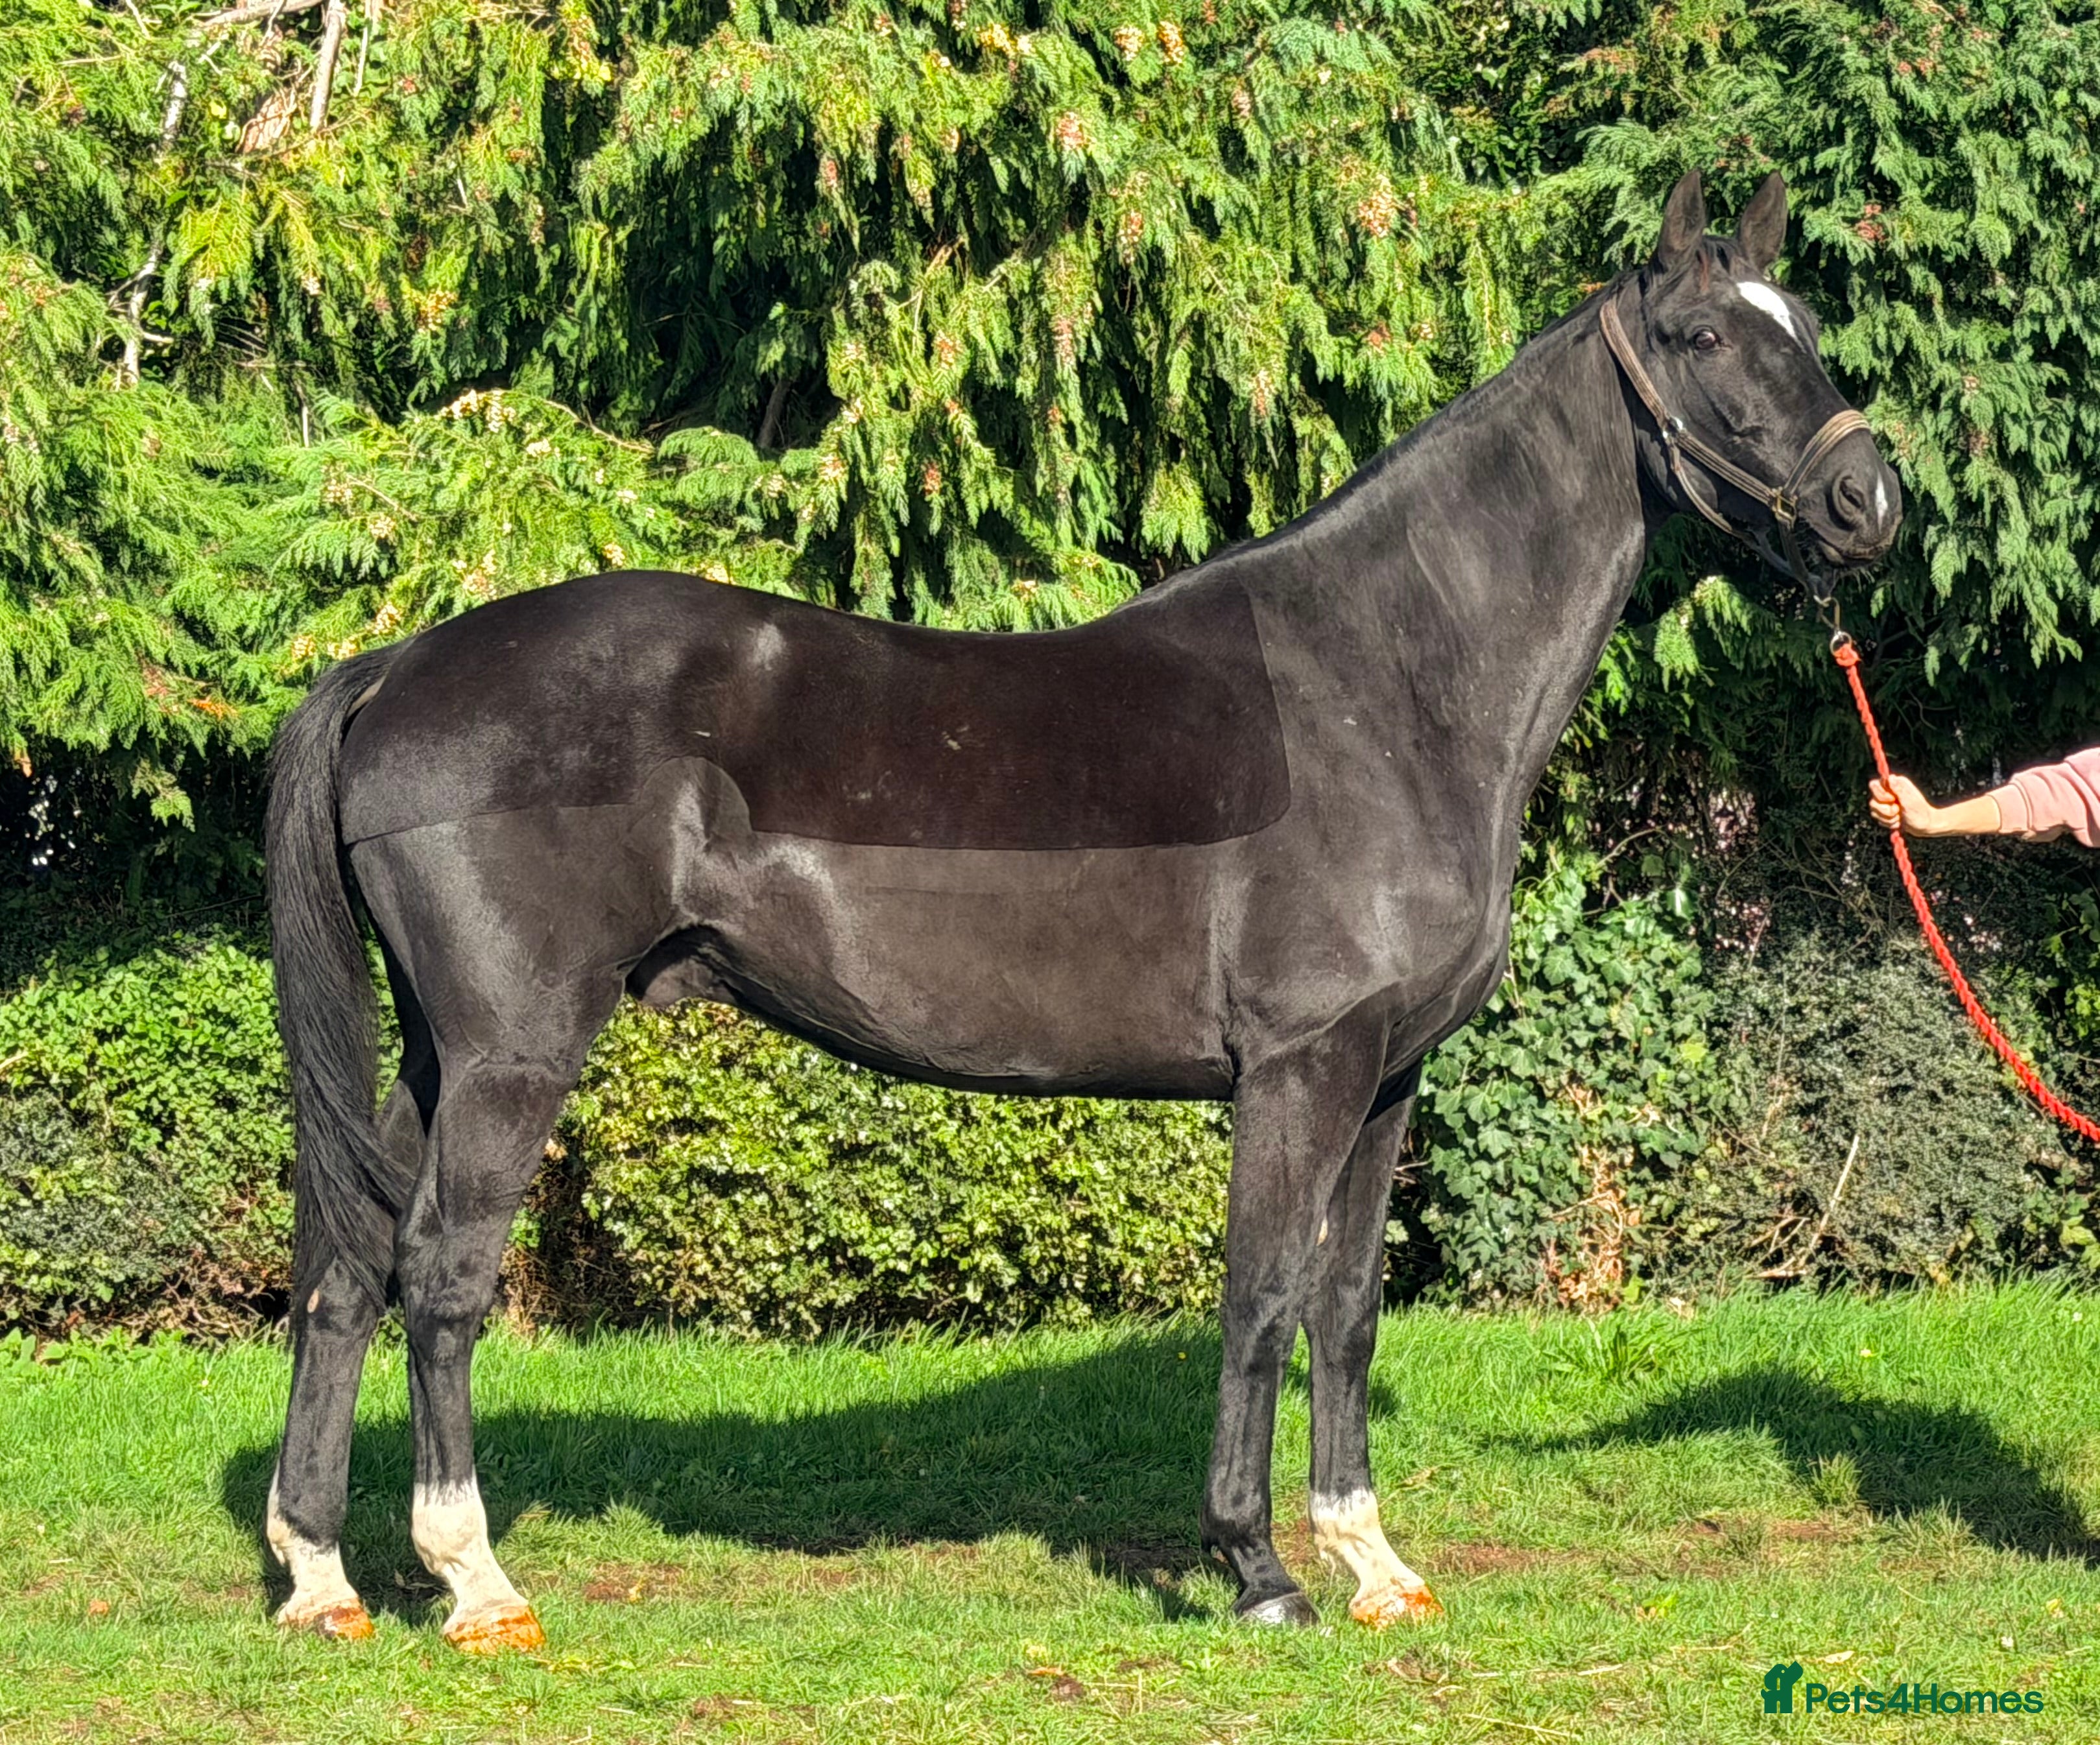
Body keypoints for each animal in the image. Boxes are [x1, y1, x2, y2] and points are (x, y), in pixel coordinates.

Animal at [262, 170, 1901, 1648]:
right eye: (1700, 335)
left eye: (1809, 325)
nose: (1865, 500)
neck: (1377, 685)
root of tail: (395, 670)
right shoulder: (1296, 1070)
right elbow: (1260, 1300)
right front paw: (1260, 1572)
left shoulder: (1385, 1079)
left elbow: (1345, 1307)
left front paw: (1372, 1564)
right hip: (513, 1050)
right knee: (441, 1276)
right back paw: (475, 1584)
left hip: (437, 1054)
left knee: (345, 1266)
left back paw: (324, 1578)